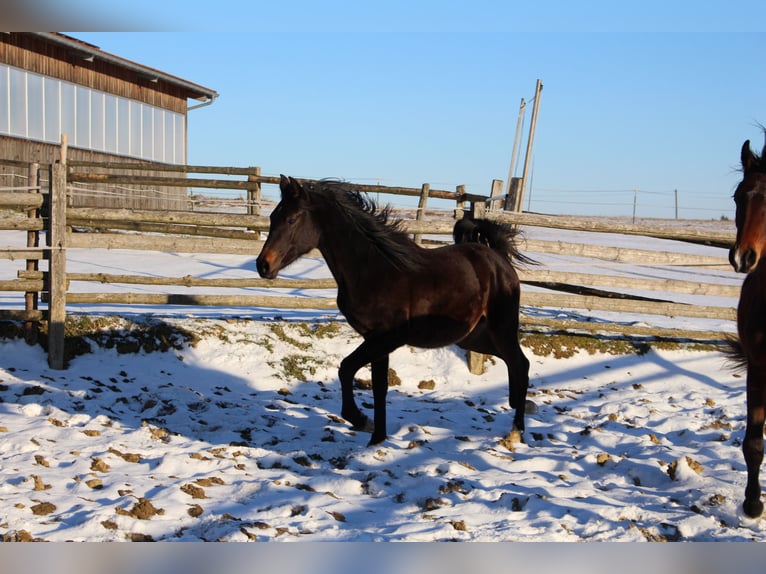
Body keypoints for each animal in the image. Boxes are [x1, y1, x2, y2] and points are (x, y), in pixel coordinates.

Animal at [257, 175, 531, 446]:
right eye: (272, 218)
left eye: (291, 219)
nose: (263, 265)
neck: (375, 270)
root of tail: (498, 258)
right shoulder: (374, 339)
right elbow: (379, 387)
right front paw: (377, 437)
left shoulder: (388, 337)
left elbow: (346, 368)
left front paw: (361, 420)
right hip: (473, 336)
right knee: (512, 361)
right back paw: (516, 407)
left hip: (501, 328)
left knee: (521, 363)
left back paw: (516, 430)